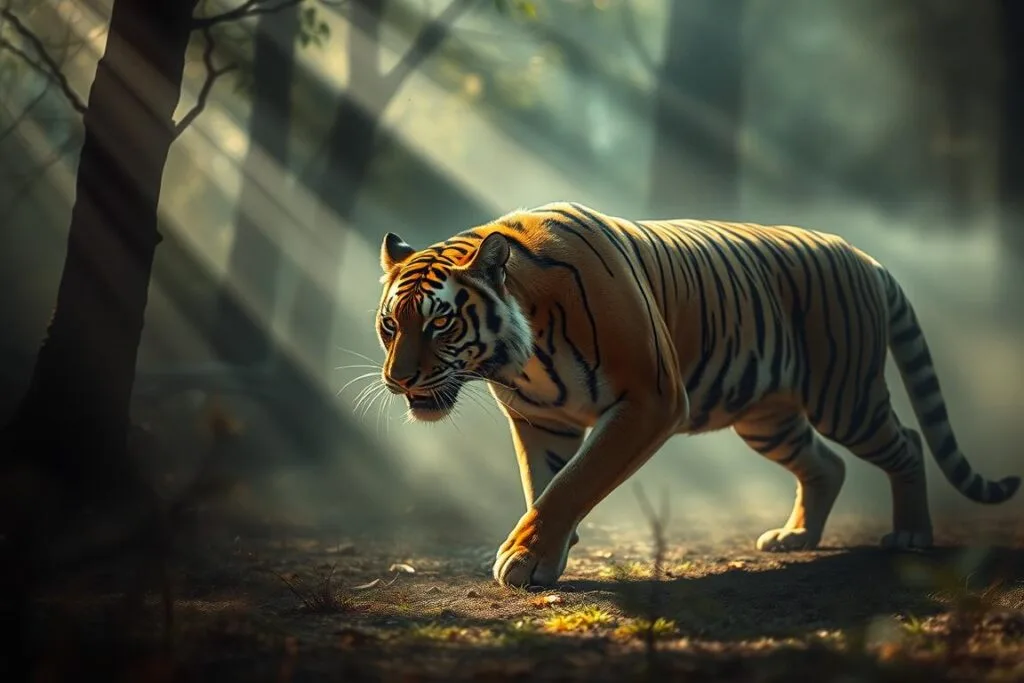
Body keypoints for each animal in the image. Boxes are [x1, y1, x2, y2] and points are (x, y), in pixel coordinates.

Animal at [374, 201, 1020, 588]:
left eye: (439, 323)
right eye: (389, 325)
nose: (398, 379)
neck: (520, 356)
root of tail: (865, 256)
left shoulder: (650, 399)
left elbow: (573, 483)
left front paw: (527, 556)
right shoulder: (539, 422)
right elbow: (545, 484)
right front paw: (548, 552)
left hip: (845, 396)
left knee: (907, 441)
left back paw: (911, 534)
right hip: (768, 416)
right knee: (827, 465)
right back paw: (796, 537)